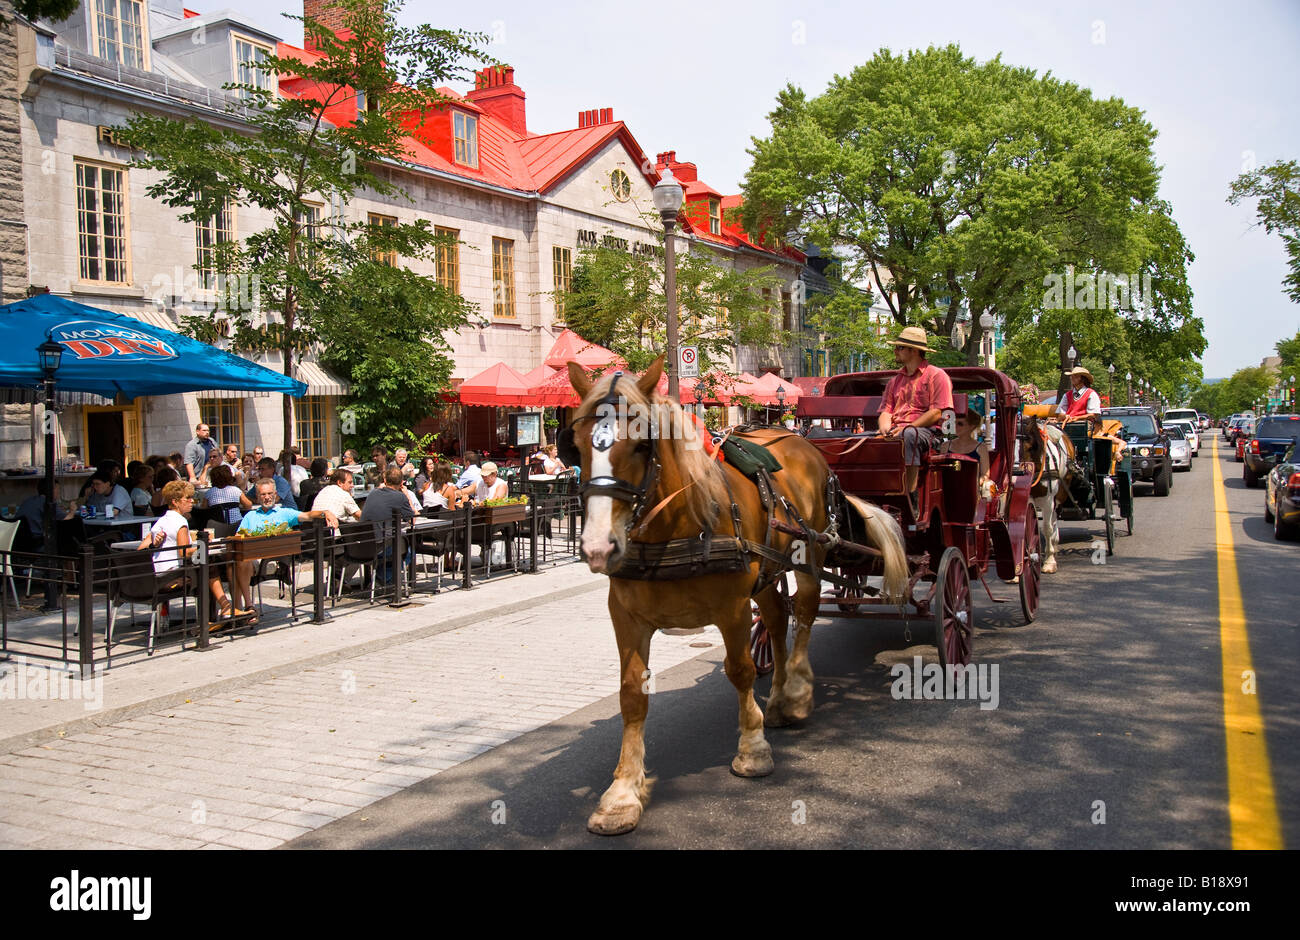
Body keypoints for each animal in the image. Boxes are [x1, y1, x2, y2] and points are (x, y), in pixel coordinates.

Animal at [564, 356, 909, 832]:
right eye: (576, 445)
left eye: (641, 446)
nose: (598, 547)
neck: (677, 526)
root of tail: (799, 440)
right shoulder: (626, 617)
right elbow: (631, 694)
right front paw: (622, 794)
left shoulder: (731, 608)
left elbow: (740, 671)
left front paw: (752, 749)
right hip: (768, 571)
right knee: (778, 617)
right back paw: (779, 697)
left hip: (810, 553)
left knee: (804, 613)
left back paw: (796, 693)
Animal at [1013, 416, 1076, 577]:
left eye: (1028, 447)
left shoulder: (1048, 499)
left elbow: (1047, 528)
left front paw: (1049, 561)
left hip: (1059, 494)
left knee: (1054, 516)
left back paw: (1054, 542)